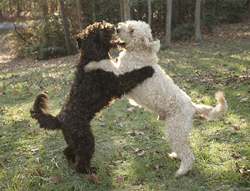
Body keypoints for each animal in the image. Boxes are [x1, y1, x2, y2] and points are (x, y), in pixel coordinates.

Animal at [30, 21, 153, 175]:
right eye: (101, 29)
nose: (115, 26)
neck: (92, 56)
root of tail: (59, 118)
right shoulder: (116, 84)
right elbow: (133, 75)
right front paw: (147, 69)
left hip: (75, 139)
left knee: (69, 151)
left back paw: (71, 160)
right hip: (84, 138)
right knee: (81, 161)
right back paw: (88, 170)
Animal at [84, 20, 227, 177]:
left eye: (132, 31)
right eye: (127, 24)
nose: (117, 29)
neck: (139, 52)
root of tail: (193, 107)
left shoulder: (122, 75)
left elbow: (107, 63)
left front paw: (91, 64)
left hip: (174, 131)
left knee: (188, 156)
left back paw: (181, 171)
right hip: (179, 132)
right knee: (184, 149)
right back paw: (176, 156)